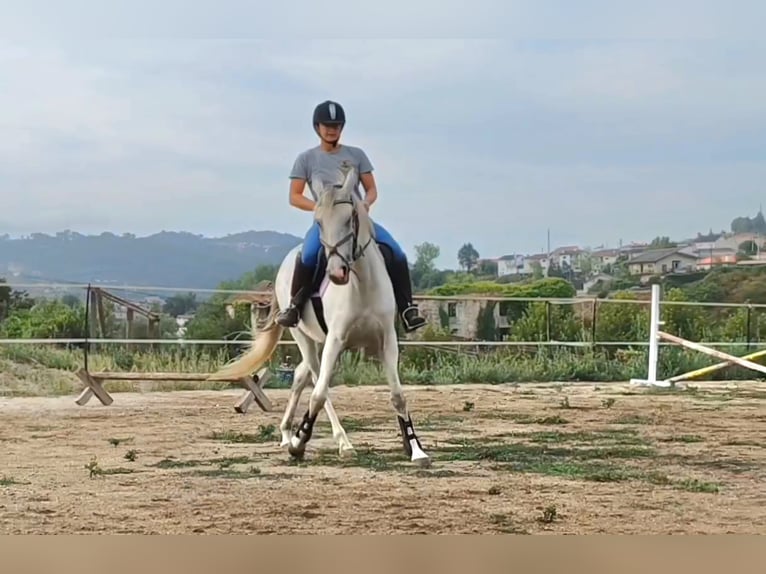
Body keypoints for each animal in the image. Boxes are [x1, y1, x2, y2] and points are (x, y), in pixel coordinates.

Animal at [208, 165, 431, 467]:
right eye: (319, 223)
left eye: (350, 219)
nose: (337, 273)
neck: (362, 285)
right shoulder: (336, 339)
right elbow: (320, 394)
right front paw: (301, 443)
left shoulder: (387, 340)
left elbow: (397, 395)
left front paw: (415, 448)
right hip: (303, 336)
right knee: (314, 380)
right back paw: (331, 441)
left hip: (320, 342)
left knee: (301, 375)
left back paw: (286, 432)